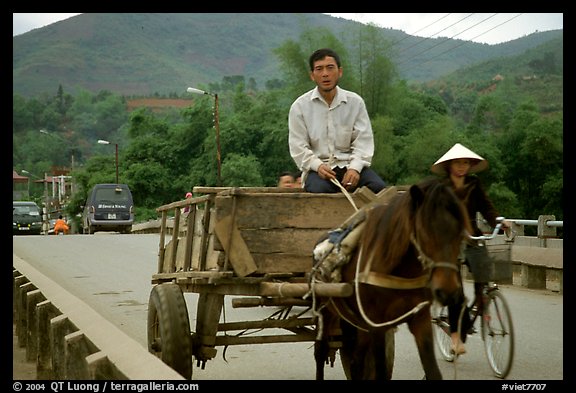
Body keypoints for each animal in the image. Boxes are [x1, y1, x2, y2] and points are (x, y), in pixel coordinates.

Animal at [316, 178, 472, 380]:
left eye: (460, 233)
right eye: (424, 230)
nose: (448, 292)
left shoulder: (420, 319)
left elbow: (433, 372)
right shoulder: (377, 325)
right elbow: (381, 372)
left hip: (358, 324)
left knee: (356, 361)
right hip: (325, 309)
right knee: (320, 352)